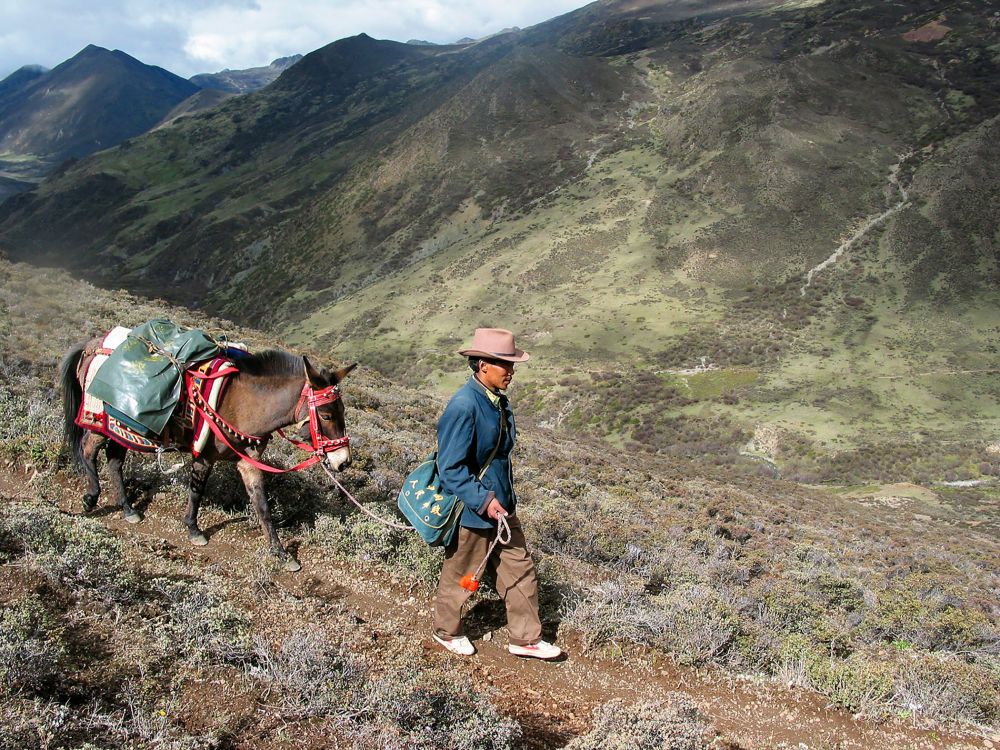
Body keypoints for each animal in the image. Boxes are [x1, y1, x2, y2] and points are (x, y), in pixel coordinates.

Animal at [59, 320, 356, 572]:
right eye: (326, 415)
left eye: (342, 411)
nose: (343, 461)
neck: (241, 402)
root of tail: (92, 344)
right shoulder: (204, 456)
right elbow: (196, 491)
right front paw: (193, 529)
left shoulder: (248, 463)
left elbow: (262, 506)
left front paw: (281, 553)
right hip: (100, 419)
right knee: (88, 449)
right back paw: (91, 497)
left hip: (121, 426)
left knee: (115, 460)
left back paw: (128, 508)